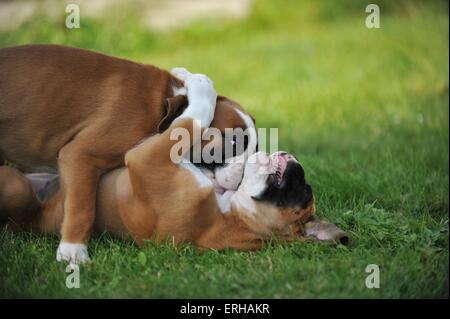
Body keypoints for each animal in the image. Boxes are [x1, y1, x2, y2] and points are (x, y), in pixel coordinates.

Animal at [0, 45, 255, 264]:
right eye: (233, 142)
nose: (247, 171)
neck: (160, 106)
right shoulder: (80, 156)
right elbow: (82, 207)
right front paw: (73, 250)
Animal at [0, 73, 348, 264]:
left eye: (300, 187)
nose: (295, 163)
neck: (231, 214)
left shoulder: (148, 158)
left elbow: (191, 119)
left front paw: (199, 85)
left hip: (15, 186)